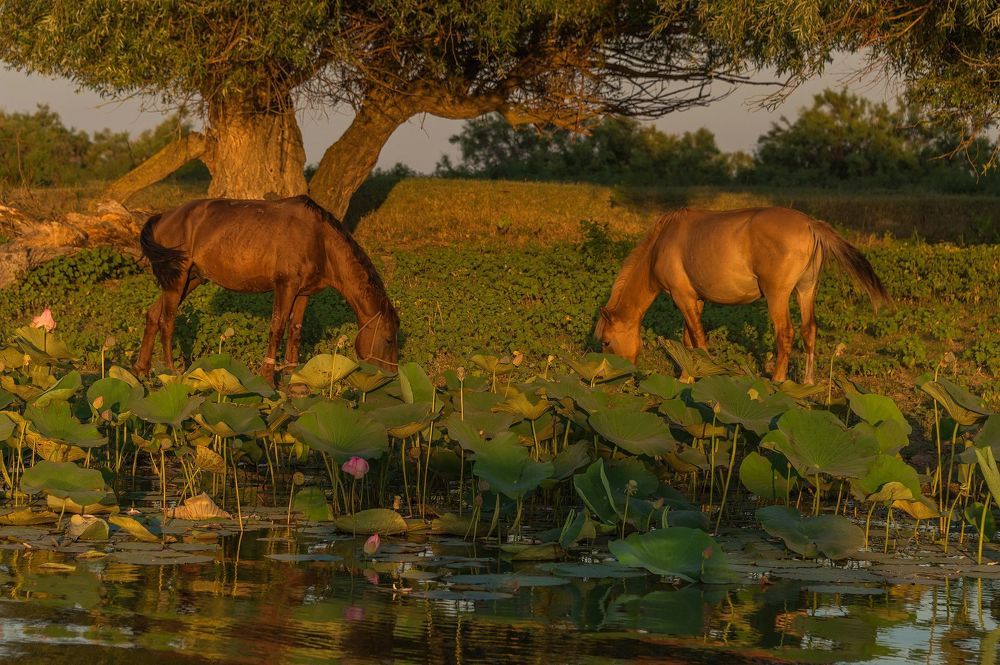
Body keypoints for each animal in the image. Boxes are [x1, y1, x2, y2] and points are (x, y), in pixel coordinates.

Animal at [133, 194, 399, 383]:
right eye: (388, 339)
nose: (393, 376)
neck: (319, 239)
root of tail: (162, 217)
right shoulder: (285, 286)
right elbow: (277, 328)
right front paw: (268, 378)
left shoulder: (303, 293)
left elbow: (295, 330)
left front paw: (293, 379)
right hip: (178, 279)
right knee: (167, 321)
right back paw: (171, 372)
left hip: (191, 279)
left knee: (153, 315)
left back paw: (141, 370)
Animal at [595, 207, 890, 384]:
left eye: (607, 342)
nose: (619, 377)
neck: (662, 243)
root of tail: (810, 224)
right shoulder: (695, 299)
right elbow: (688, 341)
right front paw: (687, 376)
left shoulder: (682, 298)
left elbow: (698, 340)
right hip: (806, 291)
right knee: (809, 331)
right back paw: (807, 383)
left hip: (777, 296)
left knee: (786, 333)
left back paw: (777, 381)